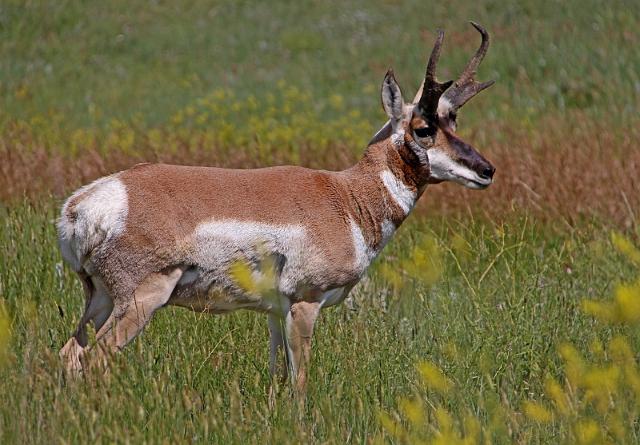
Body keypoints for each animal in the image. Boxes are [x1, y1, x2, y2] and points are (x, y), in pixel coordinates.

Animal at [58, 23, 496, 388]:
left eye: (453, 122)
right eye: (423, 129)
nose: (486, 170)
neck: (346, 197)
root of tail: (82, 206)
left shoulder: (274, 311)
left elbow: (276, 376)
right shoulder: (305, 302)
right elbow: (299, 380)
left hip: (99, 299)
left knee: (70, 354)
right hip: (141, 298)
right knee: (94, 360)